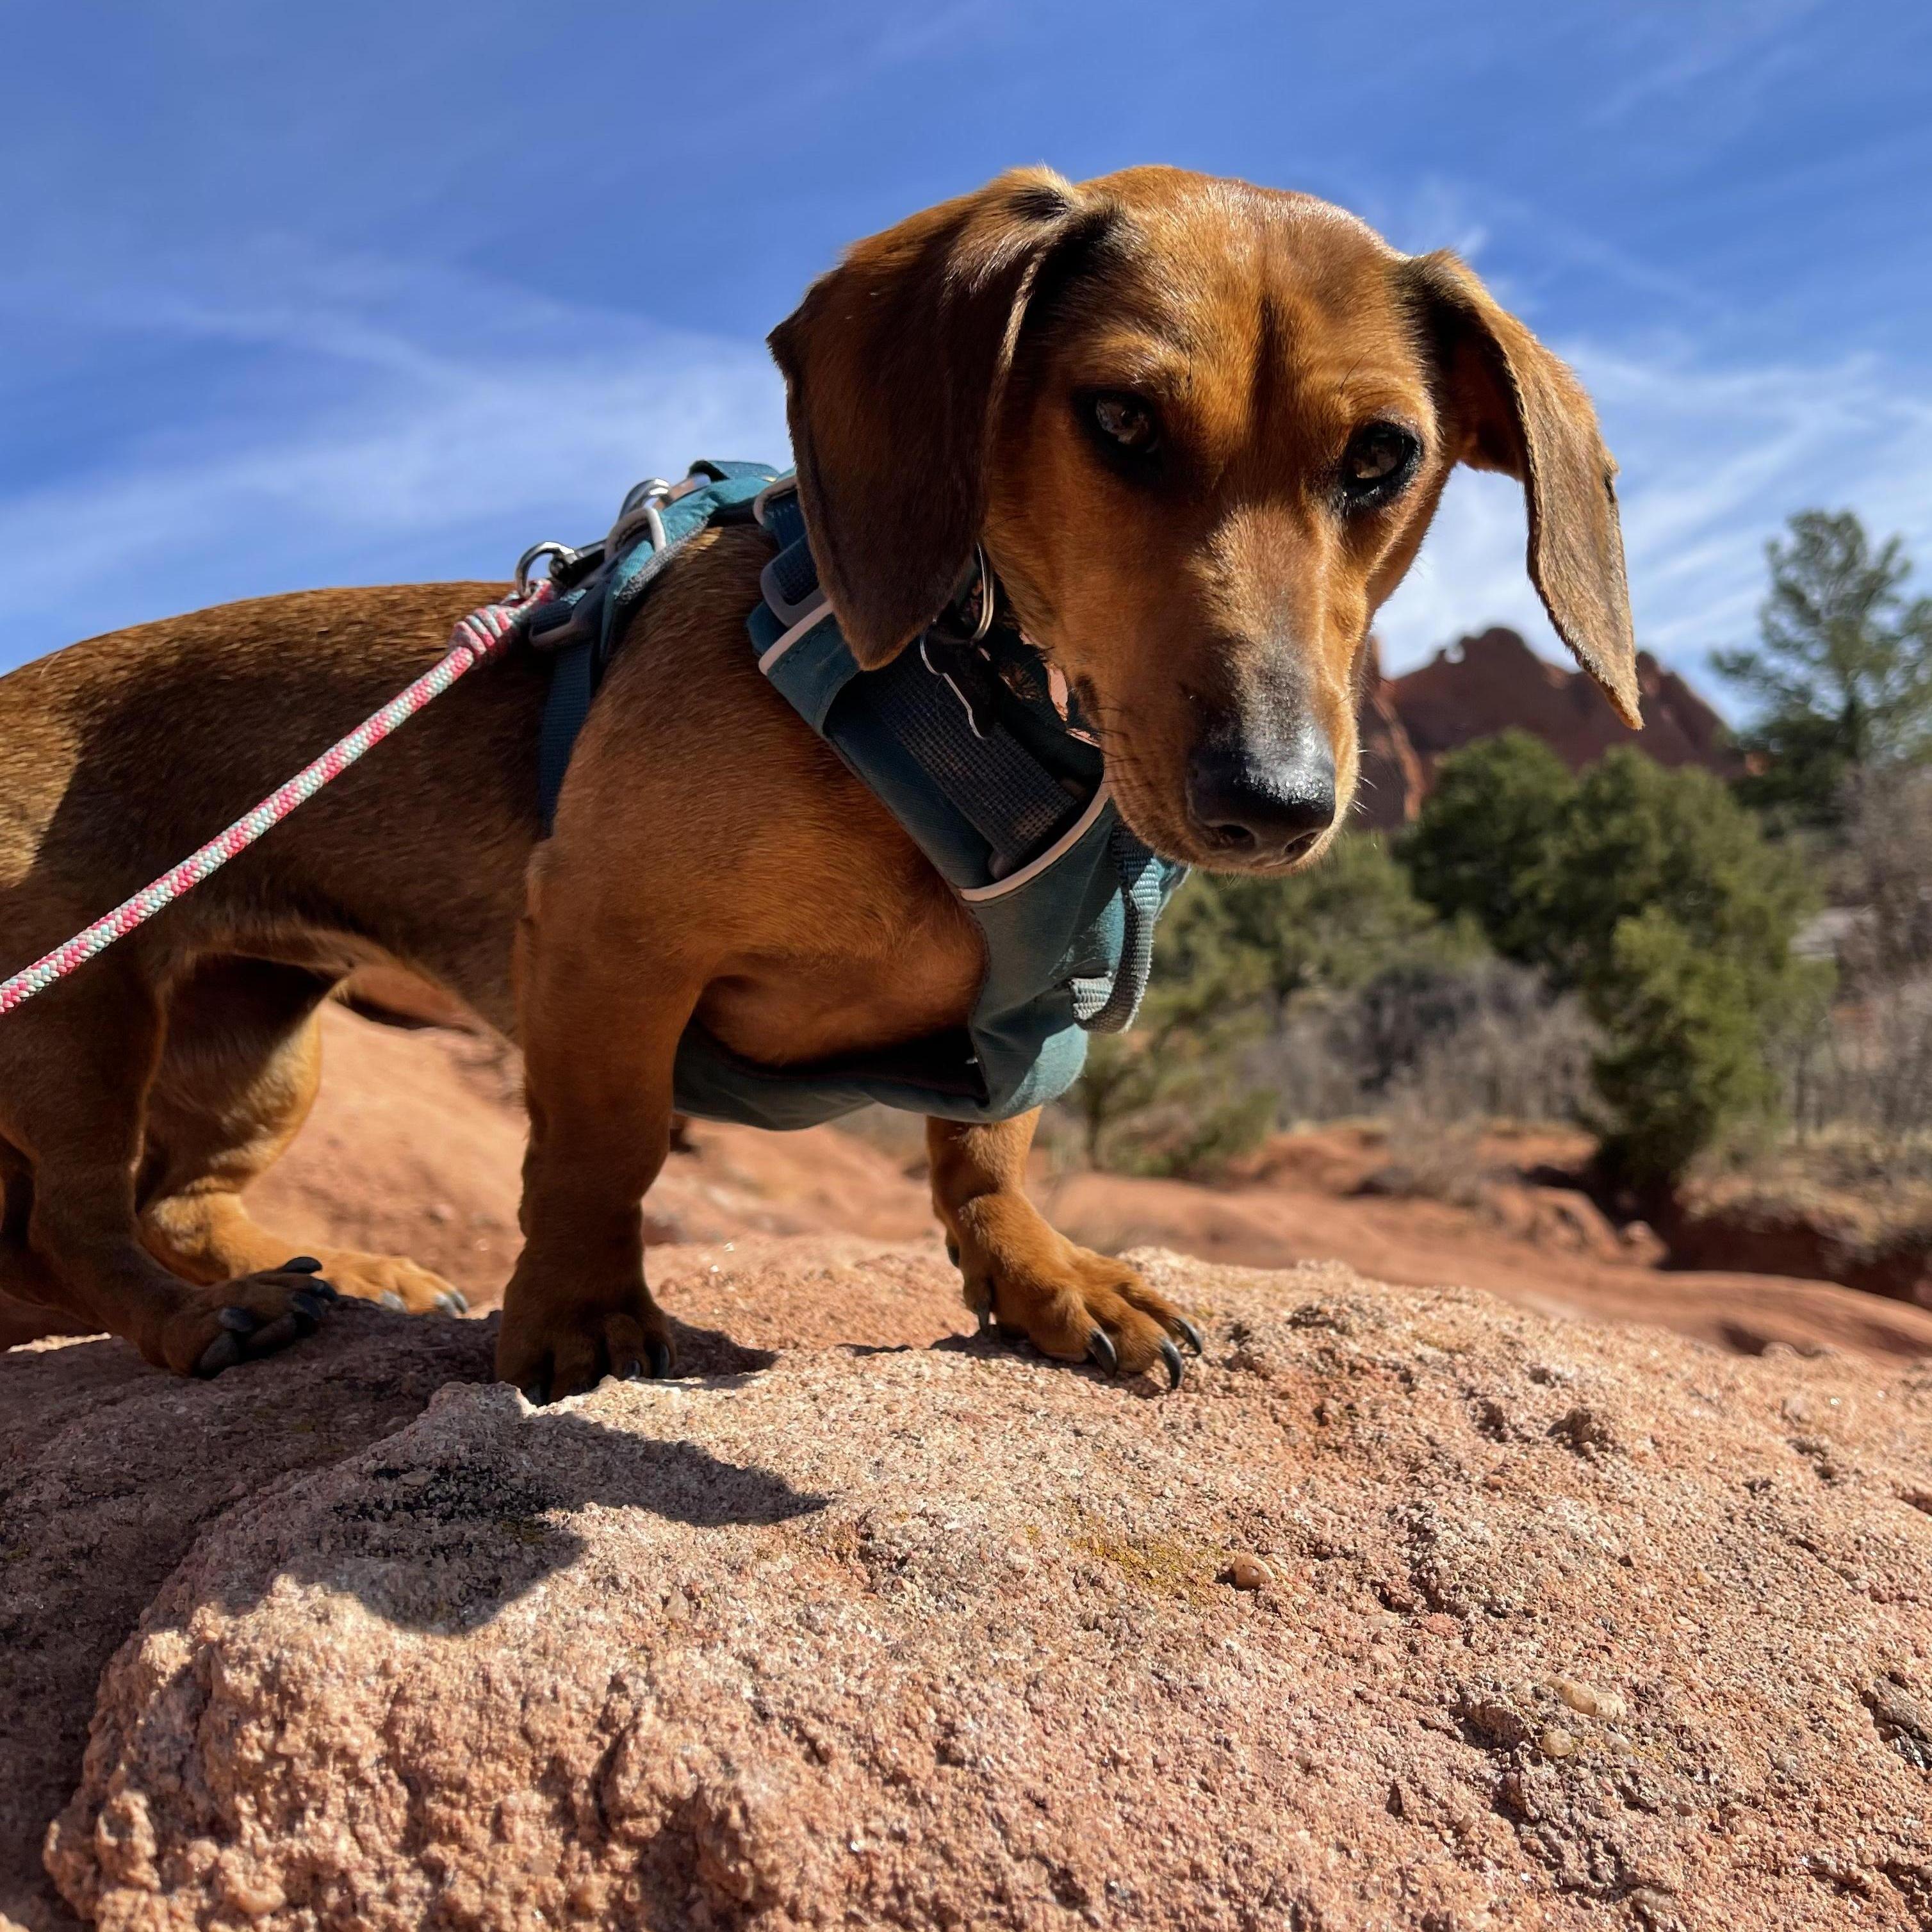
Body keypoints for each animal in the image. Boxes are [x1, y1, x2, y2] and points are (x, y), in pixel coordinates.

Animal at [0, 170, 1630, 1391]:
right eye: (1116, 419)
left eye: (1379, 458)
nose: (1270, 800)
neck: (983, 693)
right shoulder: (600, 938)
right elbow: (596, 1146)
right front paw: (578, 1313)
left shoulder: (1029, 1011)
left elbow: (987, 1155)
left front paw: (1043, 1277)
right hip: (78, 1019)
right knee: (73, 1227)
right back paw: (194, 1319)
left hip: (262, 1033)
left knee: (174, 1196)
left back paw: (338, 1271)